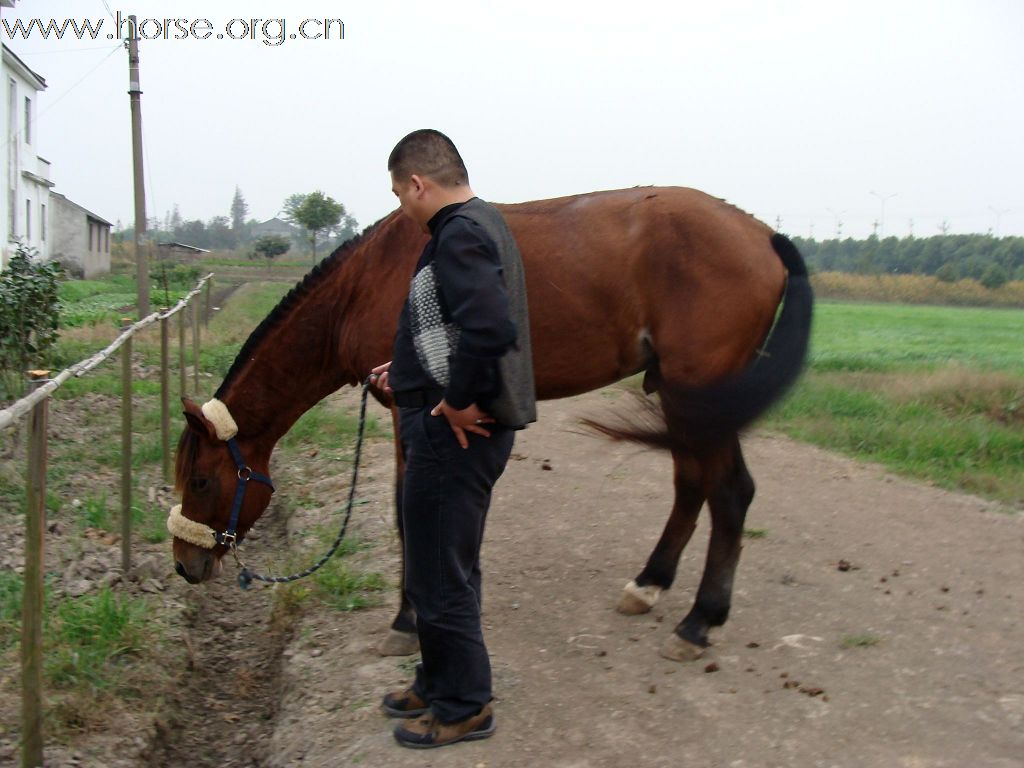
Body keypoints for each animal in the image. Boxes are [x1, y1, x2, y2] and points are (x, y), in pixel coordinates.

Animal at [172, 186, 811, 663]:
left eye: (200, 481)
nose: (185, 565)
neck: (367, 281)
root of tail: (764, 234)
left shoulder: (409, 406)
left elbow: (409, 511)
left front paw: (407, 621)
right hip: (688, 402)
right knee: (692, 485)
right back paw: (649, 585)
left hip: (694, 394)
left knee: (730, 492)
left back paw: (699, 622)